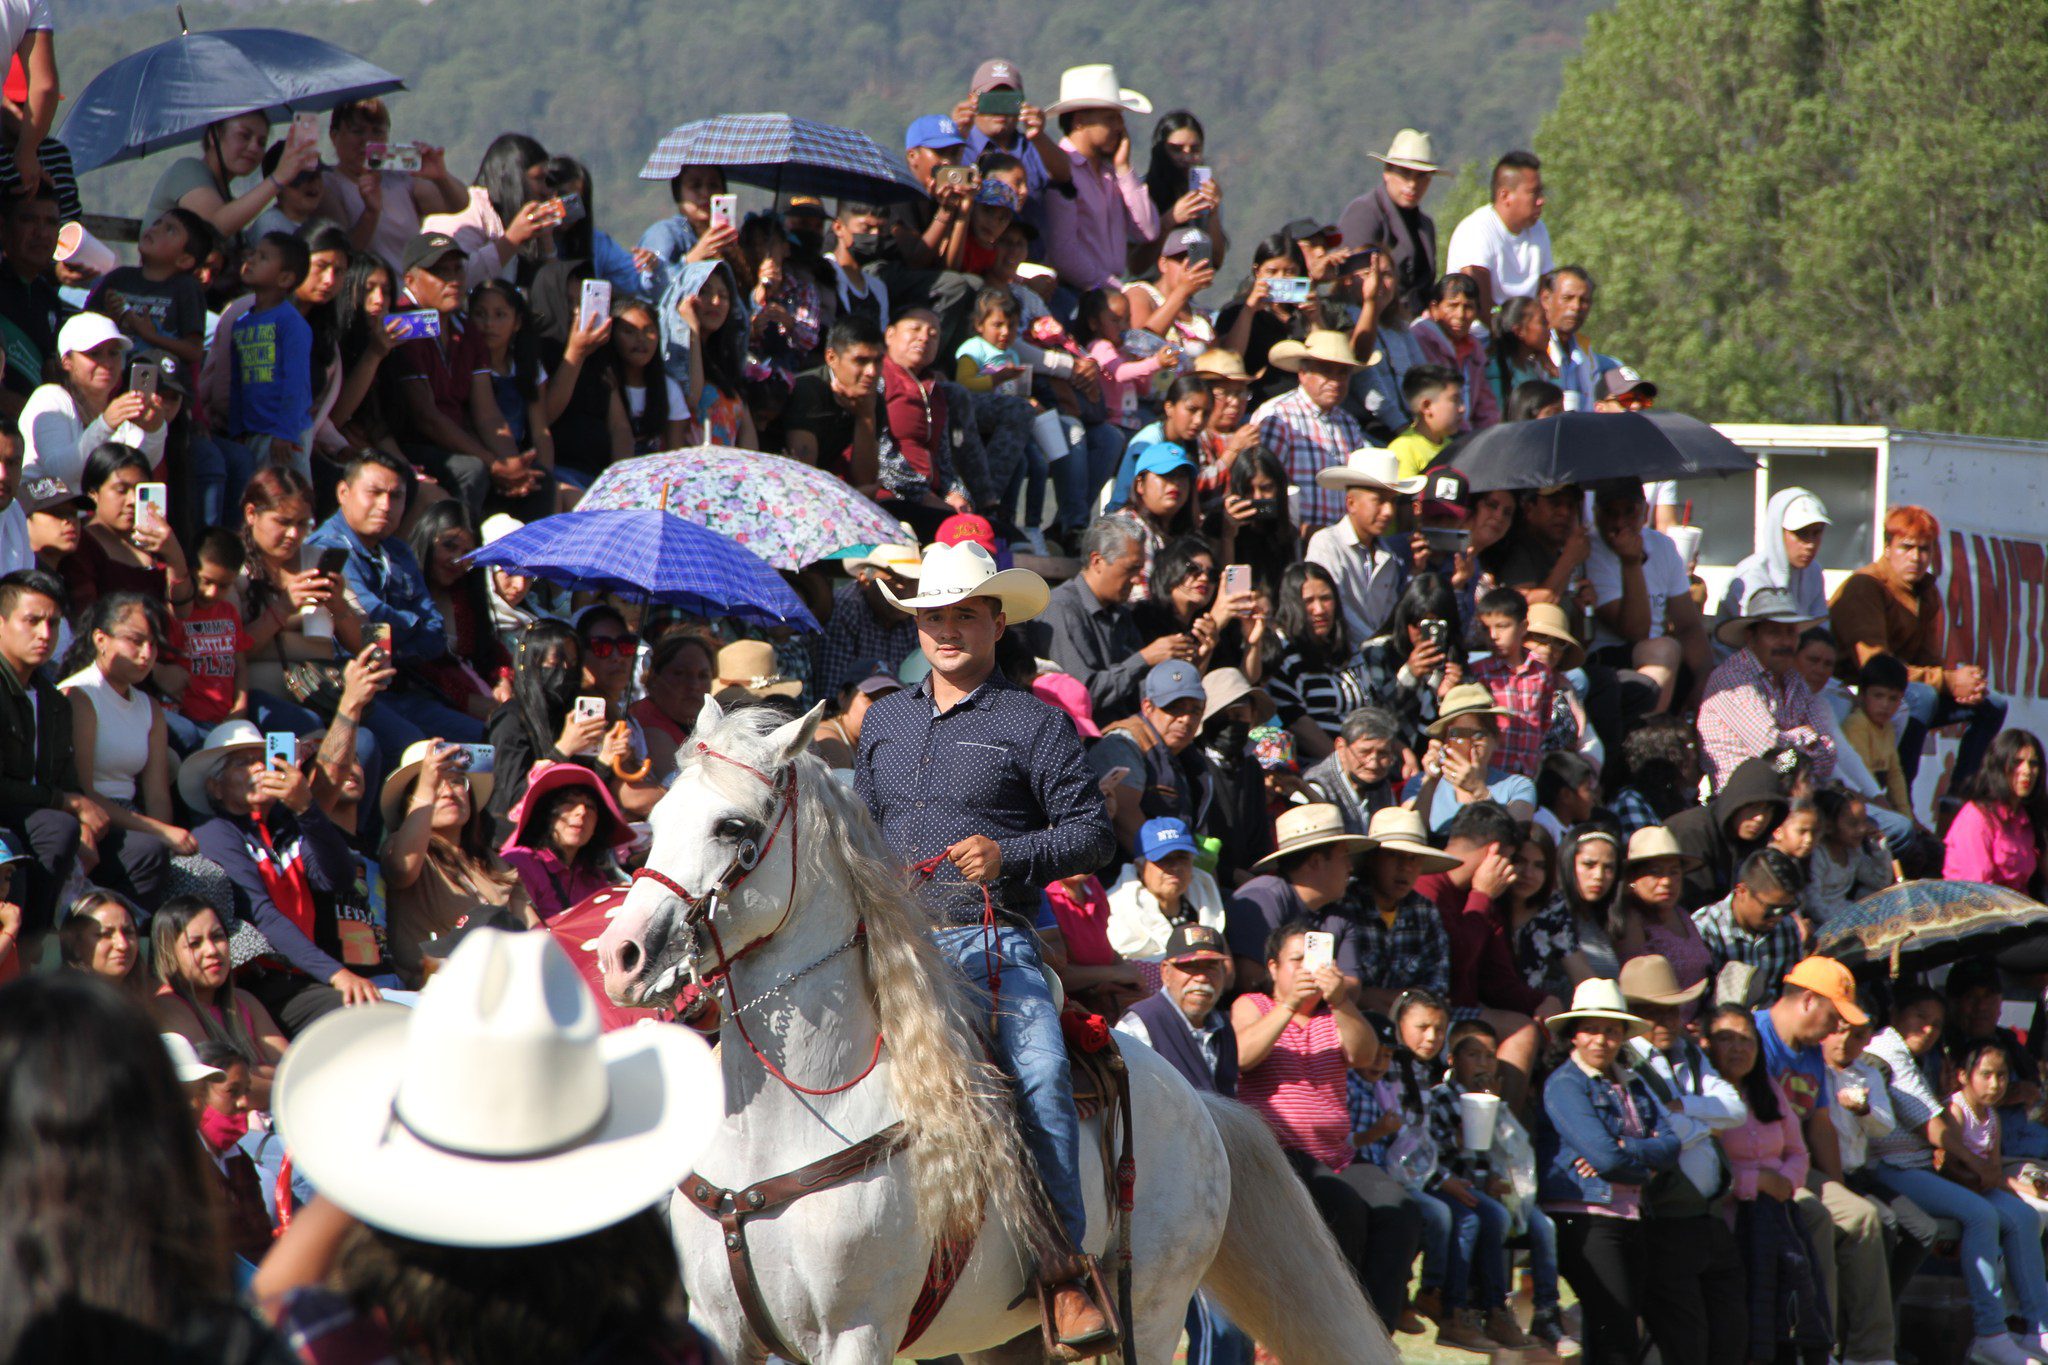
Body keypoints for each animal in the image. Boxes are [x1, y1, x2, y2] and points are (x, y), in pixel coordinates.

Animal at [593, 703, 1392, 1365]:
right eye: (659, 814)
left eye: (733, 827)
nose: (620, 954)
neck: (794, 1119)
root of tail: (1200, 1102)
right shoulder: (723, 1332)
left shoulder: (855, 1334)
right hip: (998, 1338)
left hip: (1152, 1309)